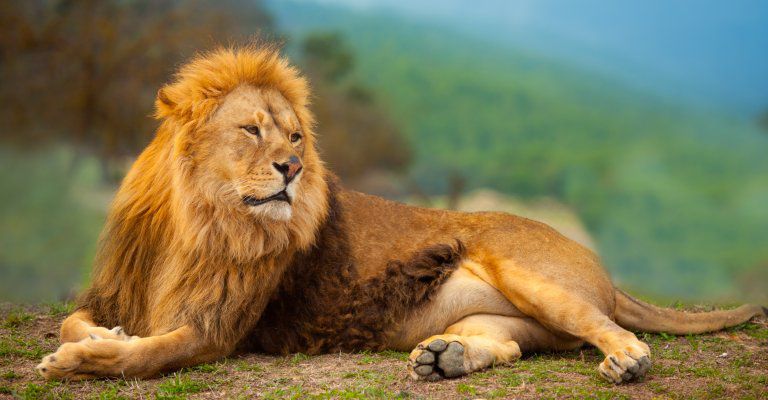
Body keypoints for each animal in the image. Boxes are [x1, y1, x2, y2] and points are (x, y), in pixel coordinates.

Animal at [37, 45, 766, 383]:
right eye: (251, 130)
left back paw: (626, 364)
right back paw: (444, 359)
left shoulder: (219, 329)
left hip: (529, 273)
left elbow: (147, 355)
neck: (196, 219)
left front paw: (83, 360)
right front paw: (102, 335)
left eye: (295, 136)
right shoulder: (115, 289)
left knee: (614, 330)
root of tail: (603, 268)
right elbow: (79, 319)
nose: (292, 168)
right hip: (510, 317)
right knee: (510, 342)